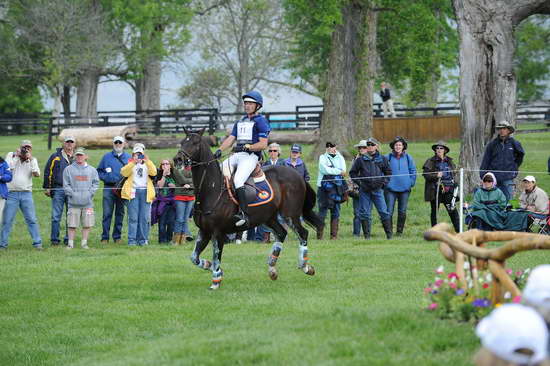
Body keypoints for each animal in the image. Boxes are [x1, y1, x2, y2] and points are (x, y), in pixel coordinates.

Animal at [175, 127, 326, 290]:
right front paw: (212, 268)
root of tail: (297, 175)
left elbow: (216, 256)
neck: (212, 190)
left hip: (290, 215)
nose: (177, 159)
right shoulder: (204, 231)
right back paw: (272, 268)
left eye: (195, 143)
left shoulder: (218, 233)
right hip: (268, 217)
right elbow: (194, 258)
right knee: (281, 233)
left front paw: (215, 281)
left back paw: (305, 267)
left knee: (302, 234)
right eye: (182, 142)